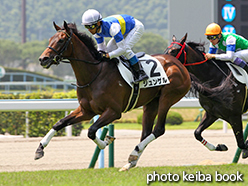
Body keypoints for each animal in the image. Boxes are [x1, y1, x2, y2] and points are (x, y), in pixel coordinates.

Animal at [35, 21, 190, 170]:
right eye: (50, 39)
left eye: (61, 40)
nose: (43, 59)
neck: (94, 74)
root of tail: (178, 64)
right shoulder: (86, 111)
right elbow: (60, 123)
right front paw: (40, 148)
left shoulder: (113, 112)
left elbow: (91, 131)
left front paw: (106, 141)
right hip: (151, 103)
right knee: (146, 133)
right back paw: (131, 161)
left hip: (167, 98)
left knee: (159, 129)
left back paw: (134, 153)